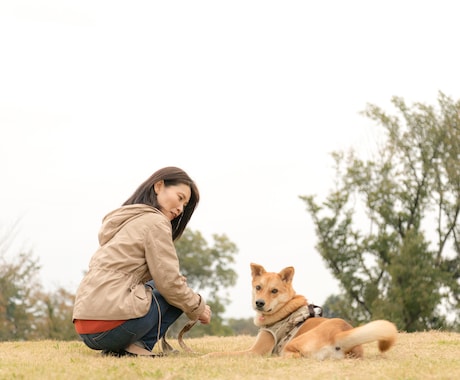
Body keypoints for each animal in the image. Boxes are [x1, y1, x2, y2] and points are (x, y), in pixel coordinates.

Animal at [207, 264, 398, 360]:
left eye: (274, 291)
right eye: (258, 287)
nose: (259, 303)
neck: (283, 309)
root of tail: (341, 334)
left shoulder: (255, 352)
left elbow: (221, 354)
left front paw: (206, 356)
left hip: (294, 343)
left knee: (293, 356)